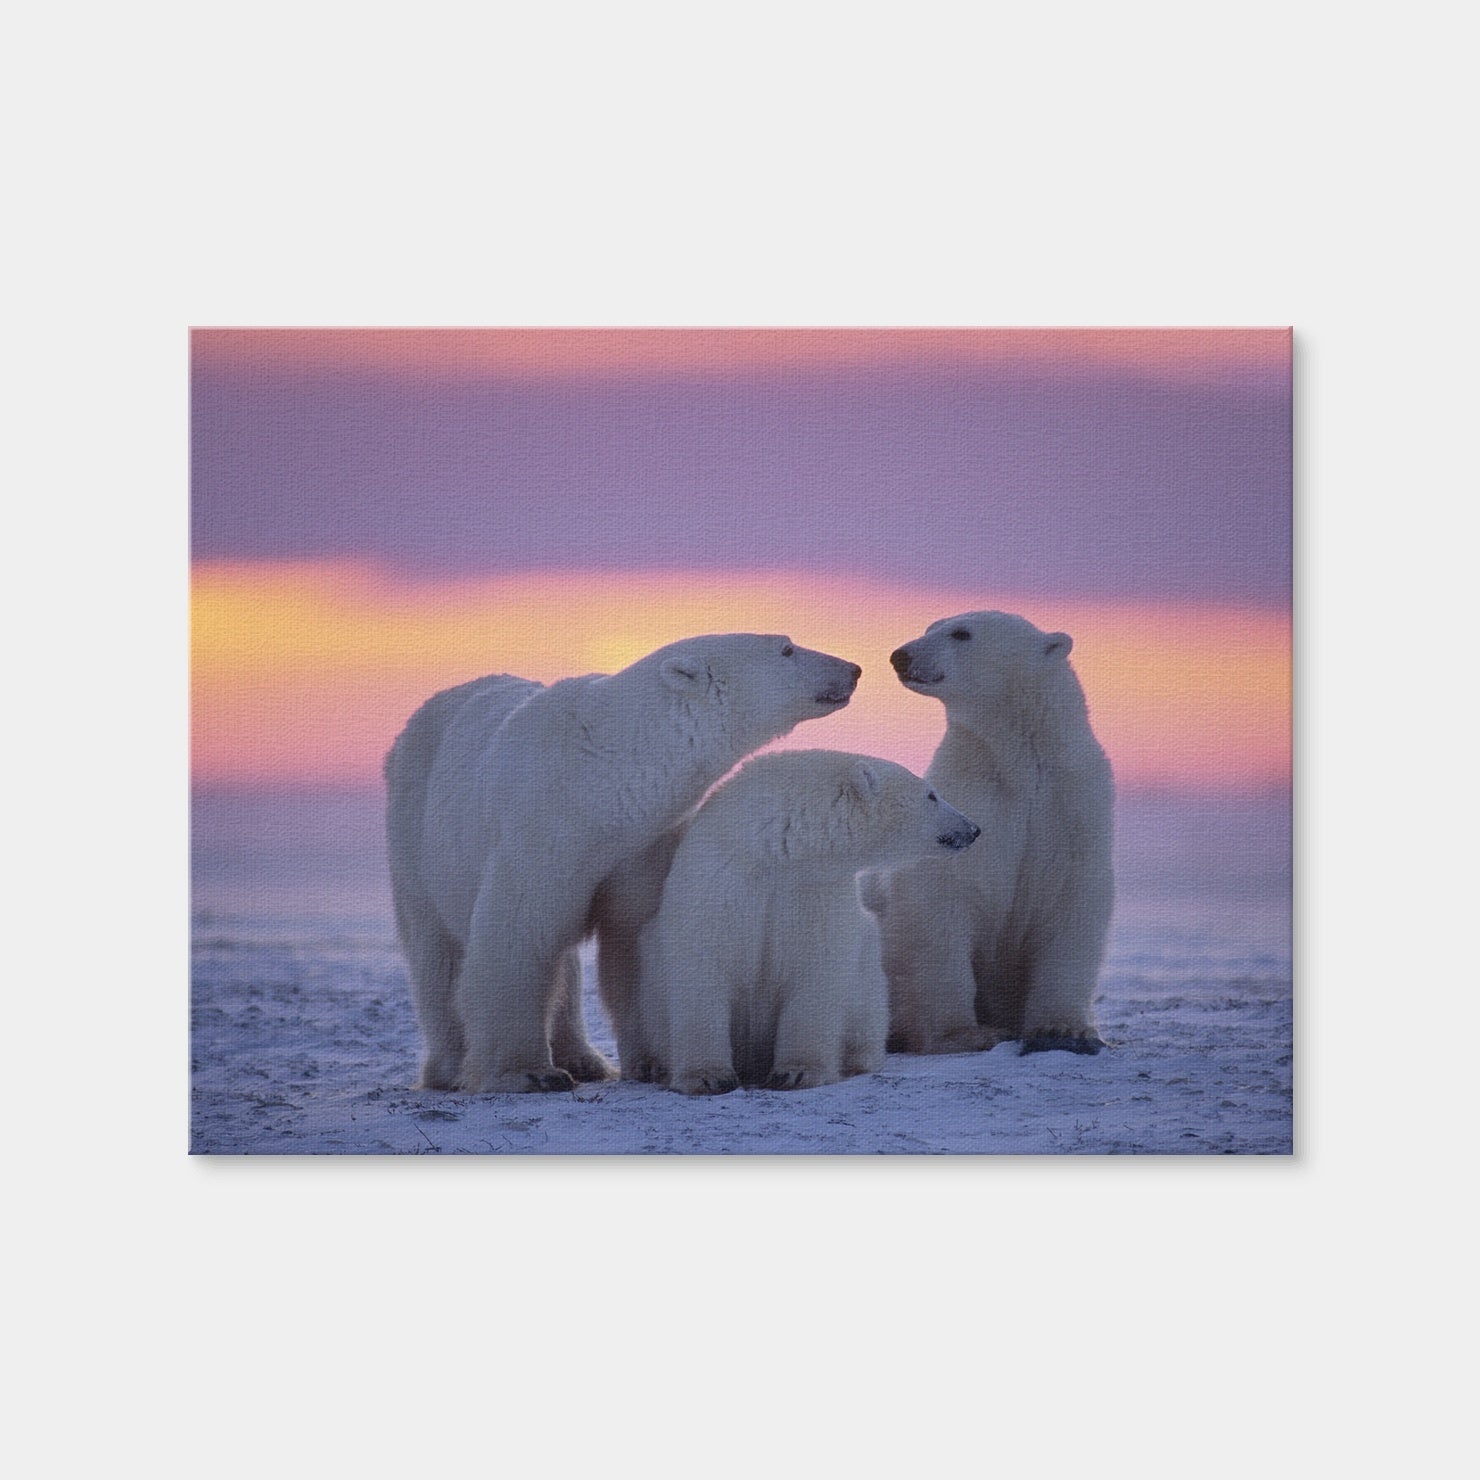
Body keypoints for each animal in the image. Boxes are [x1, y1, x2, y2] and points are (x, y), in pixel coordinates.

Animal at [384, 635, 862, 1094]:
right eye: (787, 648)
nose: (853, 668)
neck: (603, 774)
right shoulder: (541, 831)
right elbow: (518, 937)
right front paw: (529, 1074)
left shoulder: (643, 843)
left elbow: (634, 939)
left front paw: (653, 1063)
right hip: (416, 834)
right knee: (437, 955)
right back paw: (450, 1068)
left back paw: (584, 1059)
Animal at [638, 749, 981, 1095]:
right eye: (931, 795)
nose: (973, 828)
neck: (778, 851)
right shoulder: (721, 881)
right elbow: (703, 966)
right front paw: (708, 1076)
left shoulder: (817, 892)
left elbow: (816, 970)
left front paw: (797, 1073)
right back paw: (656, 1066)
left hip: (868, 971)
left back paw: (855, 1059)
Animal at [865, 611, 1114, 1056]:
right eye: (930, 627)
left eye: (961, 633)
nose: (901, 655)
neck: (1019, 769)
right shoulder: (972, 805)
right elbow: (941, 907)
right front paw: (965, 1033)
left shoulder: (1072, 809)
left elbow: (1072, 906)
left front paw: (1065, 1029)